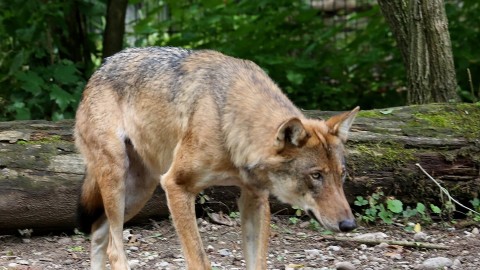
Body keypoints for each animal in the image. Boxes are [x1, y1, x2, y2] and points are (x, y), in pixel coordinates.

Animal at [75, 47, 358, 268]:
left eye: (341, 175)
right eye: (316, 175)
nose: (349, 225)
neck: (228, 121)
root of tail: (100, 69)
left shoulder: (255, 198)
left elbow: (258, 262)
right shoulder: (176, 186)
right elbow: (199, 260)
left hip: (139, 193)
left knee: (98, 233)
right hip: (120, 180)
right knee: (114, 249)